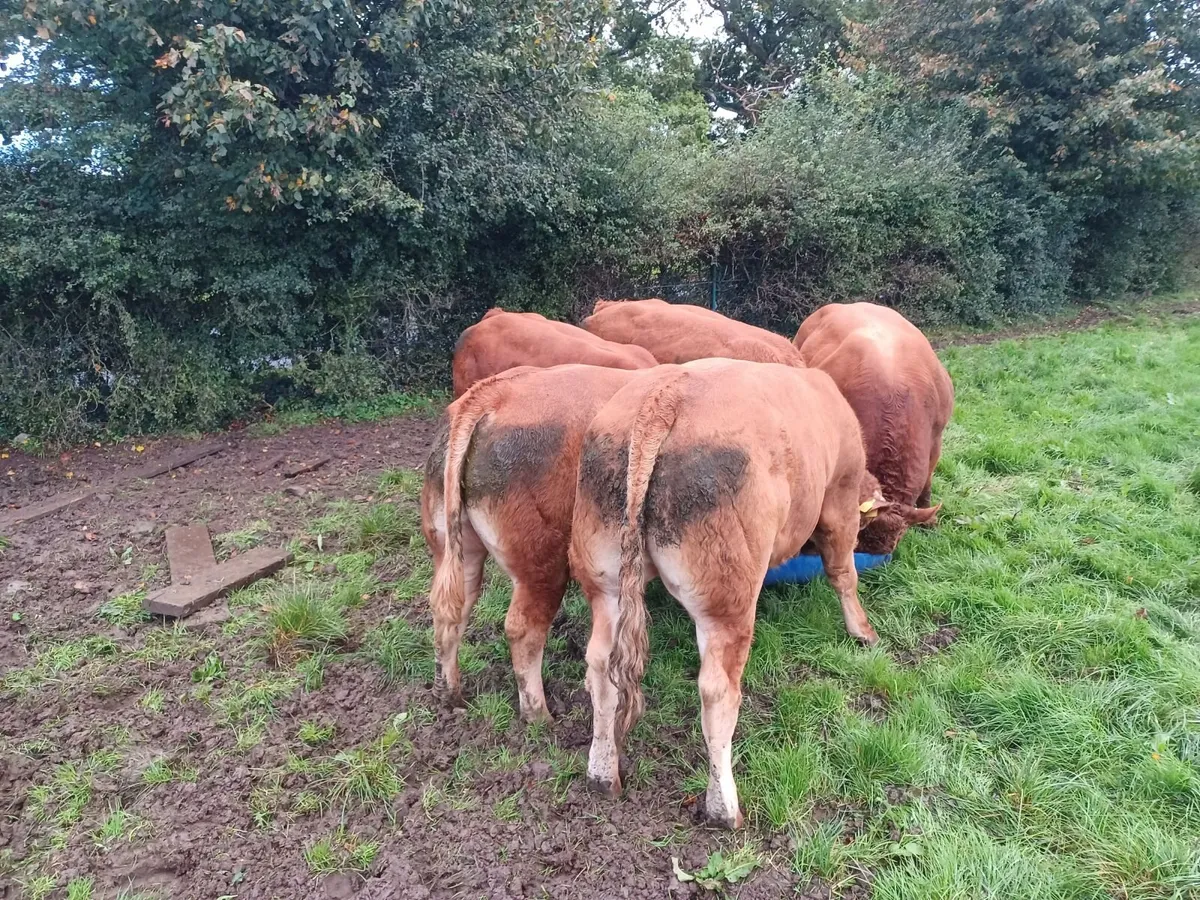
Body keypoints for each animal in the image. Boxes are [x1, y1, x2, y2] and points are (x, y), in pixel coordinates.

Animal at [422, 363, 645, 723]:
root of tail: (490, 394)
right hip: (543, 564)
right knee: (522, 629)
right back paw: (539, 716)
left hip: (451, 547)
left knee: (450, 610)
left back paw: (450, 696)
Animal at [568, 358, 890, 829]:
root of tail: (665, 394)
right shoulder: (839, 497)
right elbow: (843, 572)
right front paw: (862, 631)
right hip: (727, 599)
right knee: (717, 693)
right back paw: (724, 807)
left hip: (604, 582)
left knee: (600, 667)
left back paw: (602, 772)